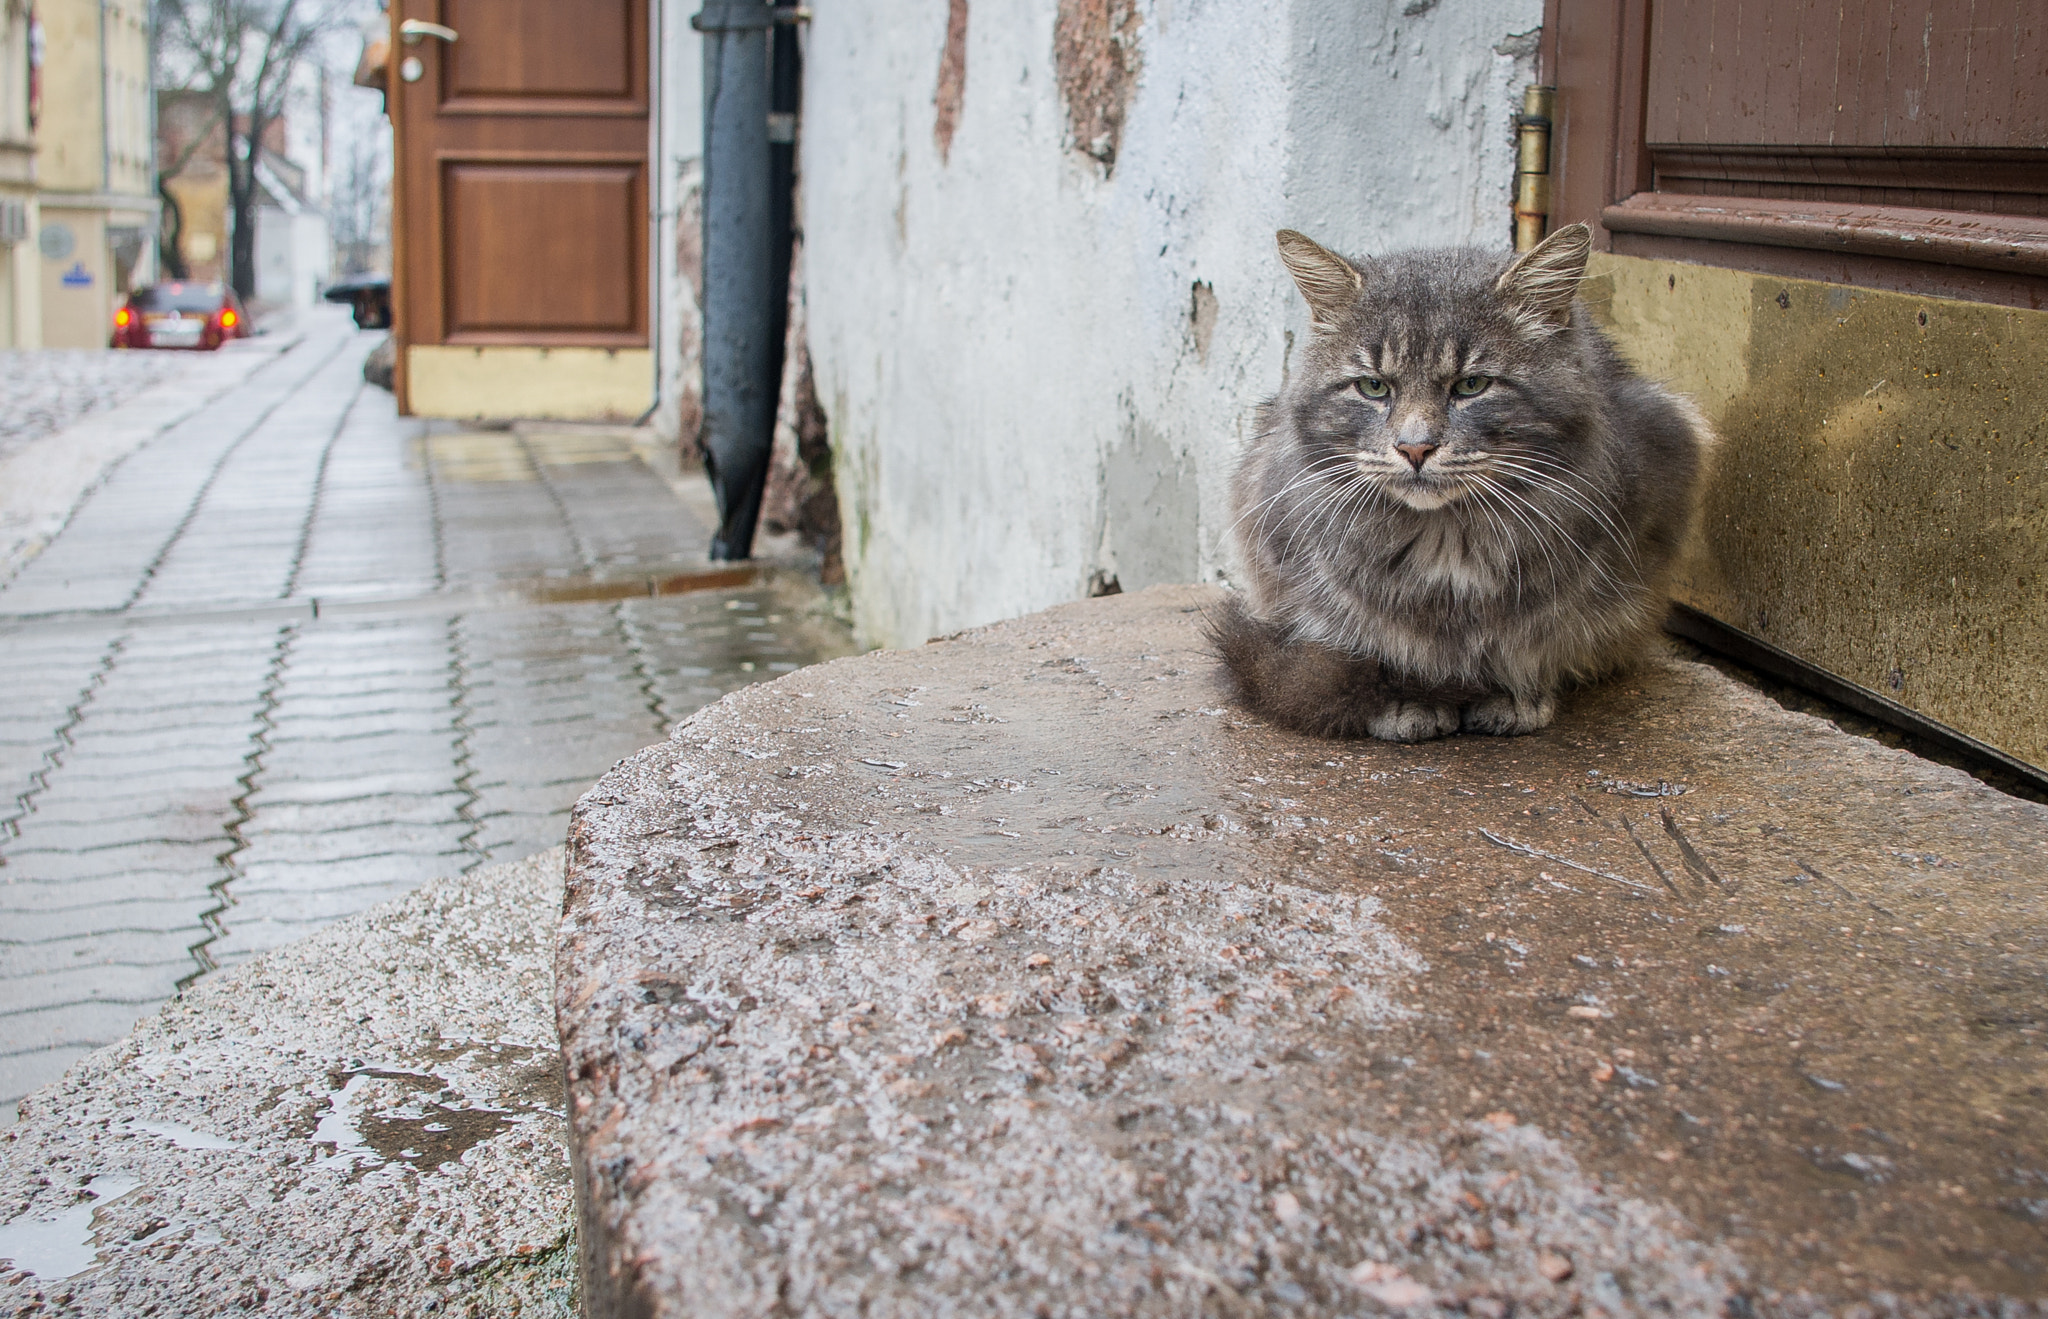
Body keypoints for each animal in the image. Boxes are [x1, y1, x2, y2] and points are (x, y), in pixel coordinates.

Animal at [1212, 224, 1712, 741]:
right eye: (1373, 387)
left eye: (1472, 385)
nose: (1415, 448)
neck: (1446, 539)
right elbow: (1377, 650)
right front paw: (1406, 700)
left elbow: (1530, 647)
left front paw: (1513, 696)